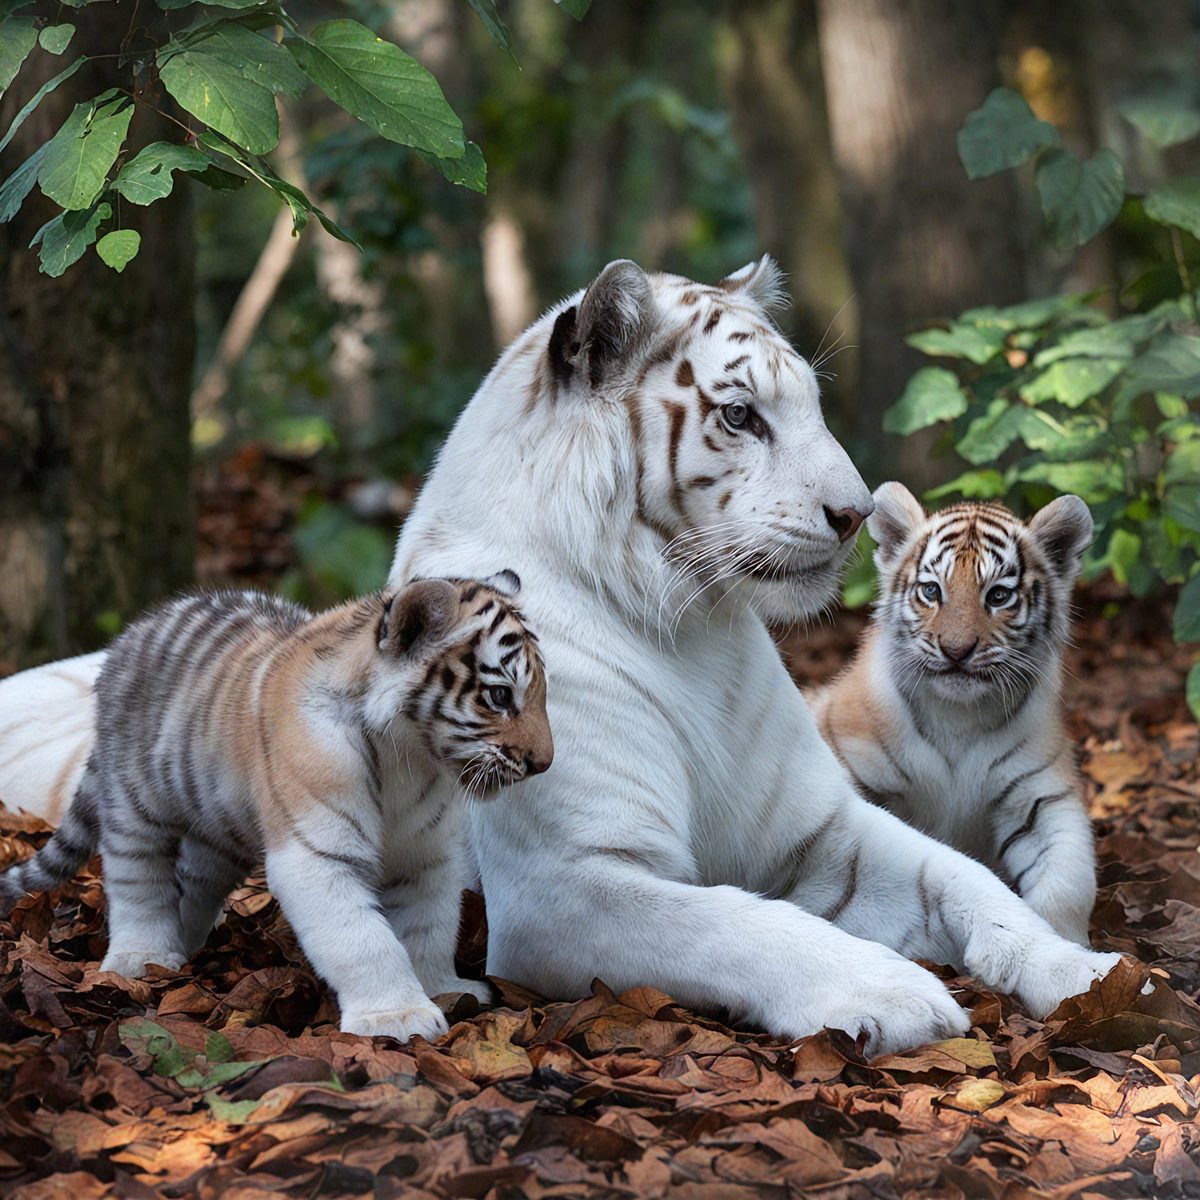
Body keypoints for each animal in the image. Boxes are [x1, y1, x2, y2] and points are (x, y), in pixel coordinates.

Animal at [0, 572, 551, 1043]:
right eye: (499, 695)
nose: (543, 763)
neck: (411, 757)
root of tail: (131, 635)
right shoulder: (315, 856)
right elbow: (363, 939)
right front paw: (397, 1017)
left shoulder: (424, 859)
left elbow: (429, 927)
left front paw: (443, 989)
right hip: (135, 803)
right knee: (137, 879)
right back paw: (143, 957)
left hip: (218, 829)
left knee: (195, 881)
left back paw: (187, 941)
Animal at [808, 483, 1098, 945]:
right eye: (931, 591)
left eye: (998, 595)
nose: (956, 650)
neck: (957, 717)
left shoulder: (1042, 797)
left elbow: (1069, 885)